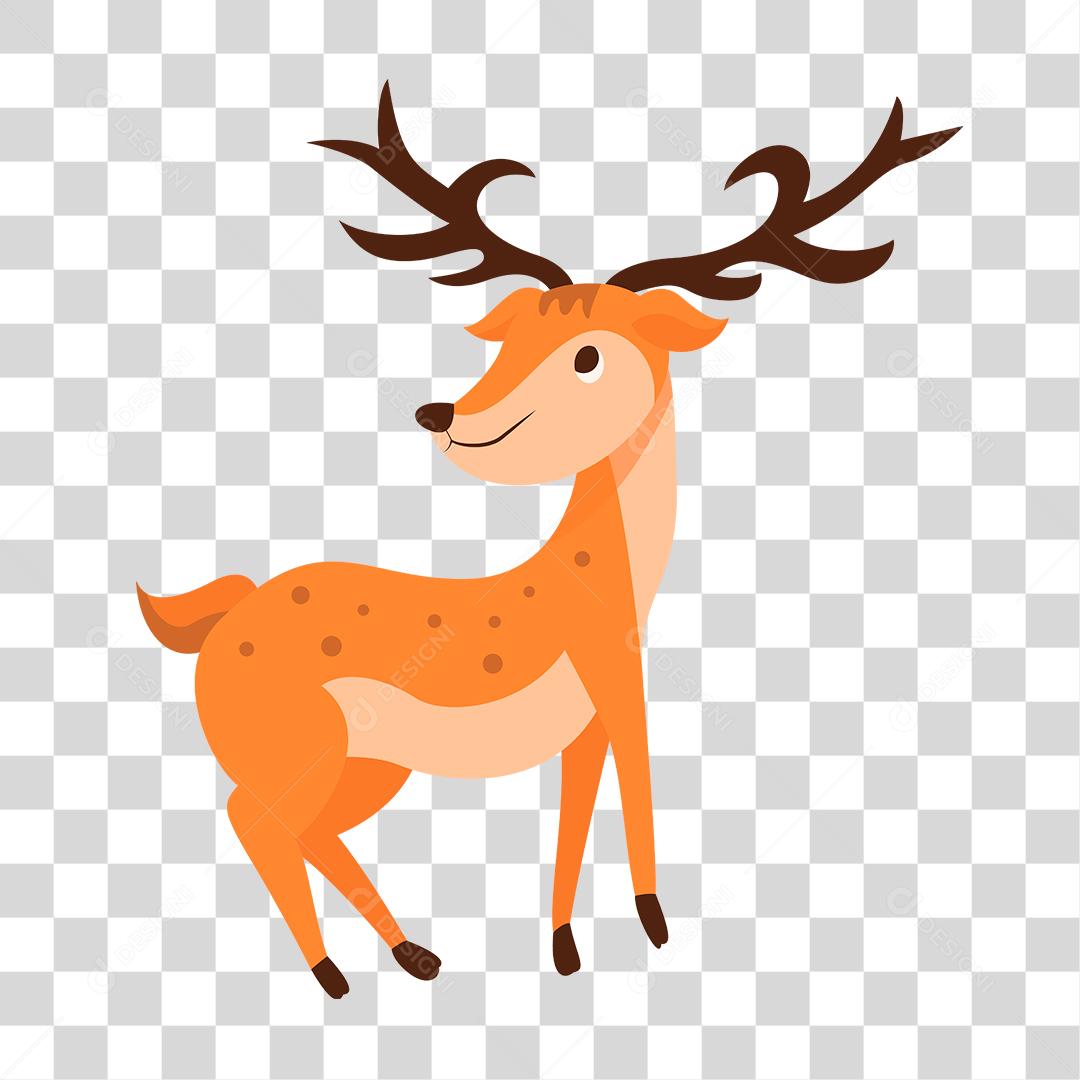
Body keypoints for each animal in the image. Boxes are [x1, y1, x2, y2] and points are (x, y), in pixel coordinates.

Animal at [138, 85, 958, 997]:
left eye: (588, 354)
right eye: (511, 335)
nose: (440, 413)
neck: (599, 582)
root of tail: (217, 619)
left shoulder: (587, 725)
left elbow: (578, 816)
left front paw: (568, 949)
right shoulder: (620, 692)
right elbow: (638, 790)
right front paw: (654, 924)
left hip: (364, 766)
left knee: (293, 829)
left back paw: (403, 957)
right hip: (300, 754)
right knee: (252, 817)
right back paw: (346, 970)